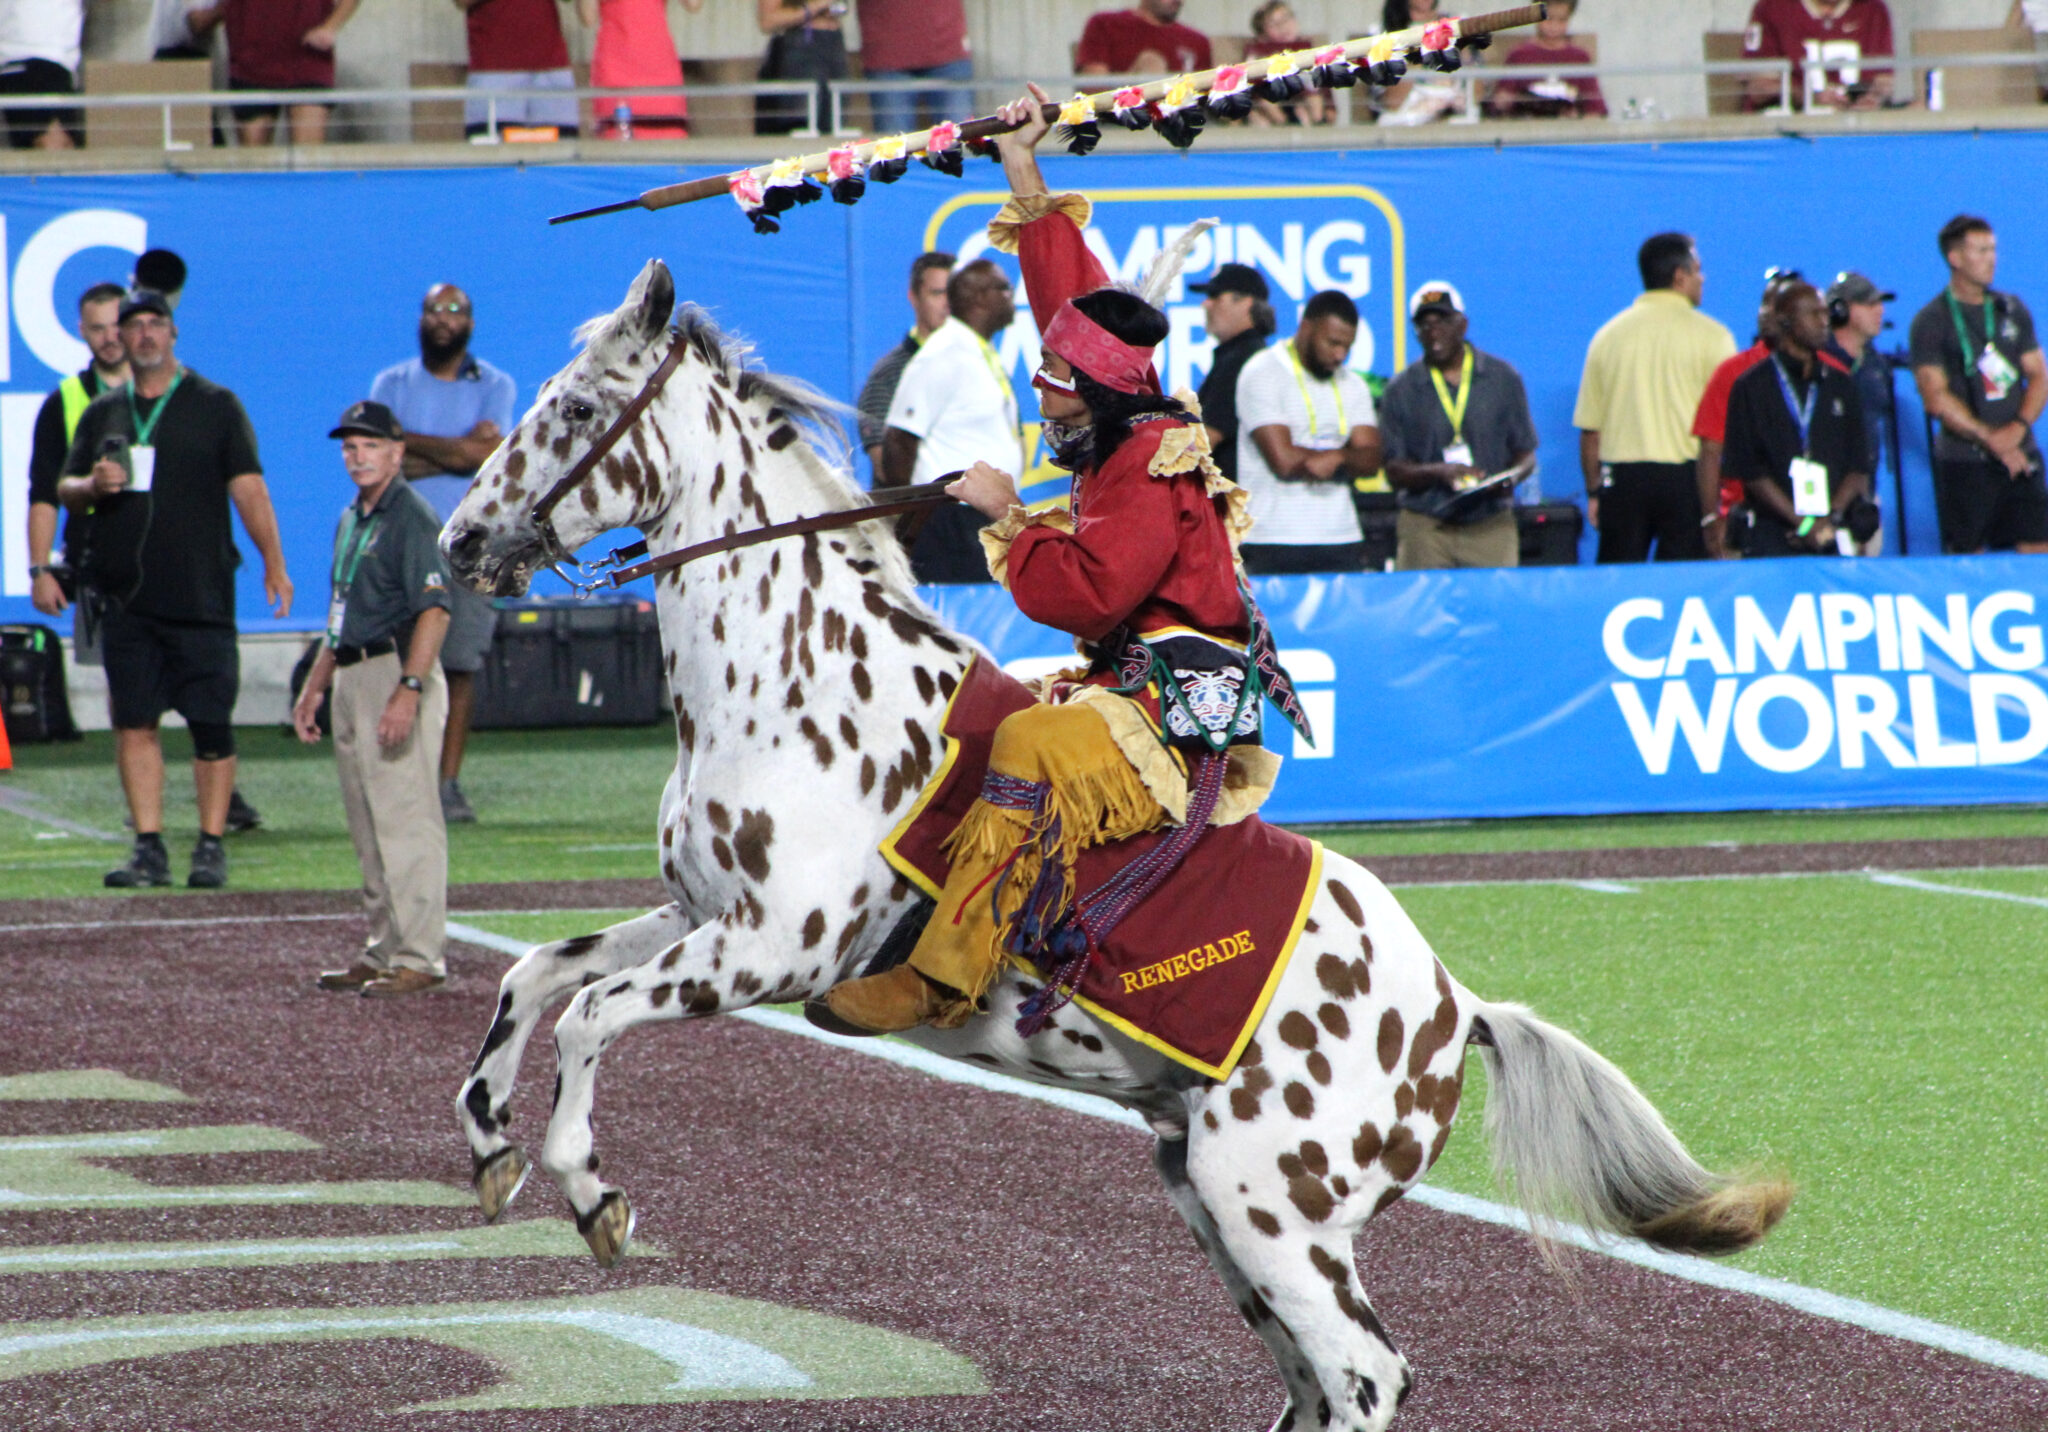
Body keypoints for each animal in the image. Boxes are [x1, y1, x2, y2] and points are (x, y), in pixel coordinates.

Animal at [440, 260, 1785, 1432]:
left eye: (574, 408)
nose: (458, 542)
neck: (794, 683)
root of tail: (1456, 1013)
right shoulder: (696, 913)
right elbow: (536, 974)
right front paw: (489, 1142)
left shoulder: (778, 947)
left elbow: (591, 1018)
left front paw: (591, 1193)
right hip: (1207, 1199)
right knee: (1310, 1385)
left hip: (1272, 1209)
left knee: (1365, 1376)